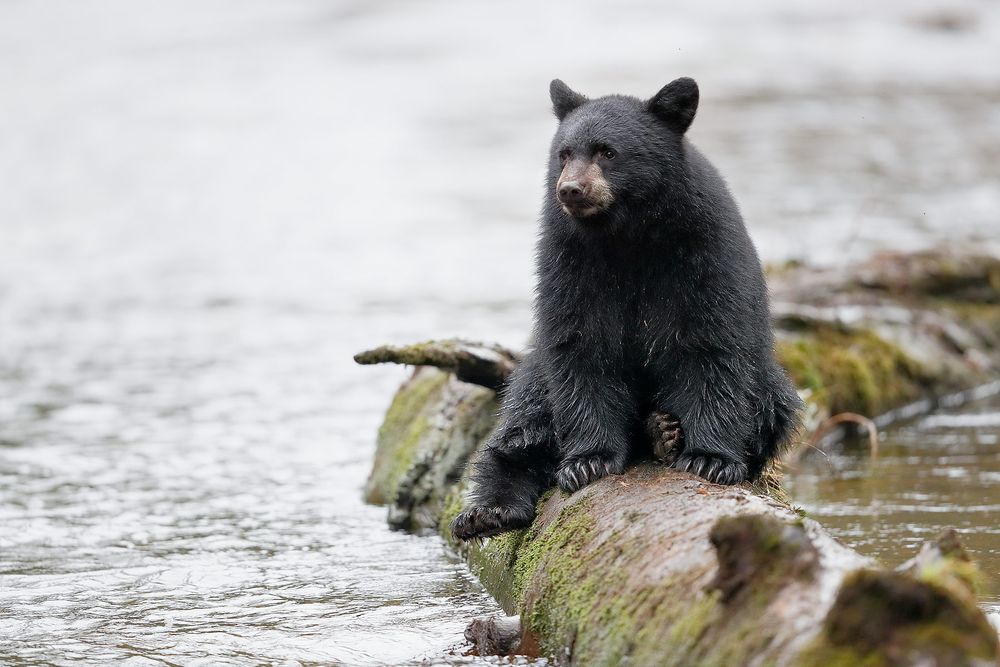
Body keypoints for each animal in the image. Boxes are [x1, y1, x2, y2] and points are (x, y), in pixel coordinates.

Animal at [451, 77, 802, 541]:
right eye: (564, 153)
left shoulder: (706, 252)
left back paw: (662, 434)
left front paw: (710, 458)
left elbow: (714, 344)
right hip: (535, 377)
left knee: (770, 403)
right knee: (524, 418)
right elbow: (579, 346)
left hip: (771, 384)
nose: (570, 190)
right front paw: (589, 460)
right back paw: (488, 511)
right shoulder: (569, 260)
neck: (628, 236)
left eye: (608, 151)